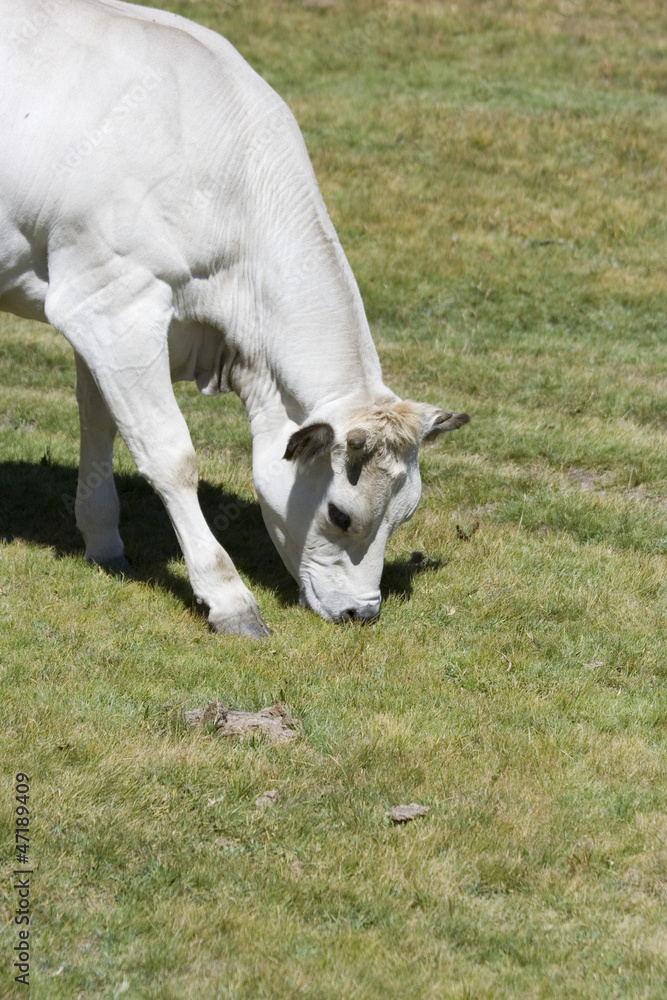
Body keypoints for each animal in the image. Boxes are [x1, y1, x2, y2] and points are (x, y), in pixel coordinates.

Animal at [0, 0, 469, 636]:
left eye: (407, 513)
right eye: (341, 515)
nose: (362, 612)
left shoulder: (96, 307)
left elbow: (100, 423)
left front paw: (103, 543)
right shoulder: (112, 302)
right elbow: (169, 455)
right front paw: (229, 599)